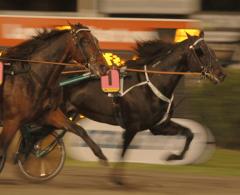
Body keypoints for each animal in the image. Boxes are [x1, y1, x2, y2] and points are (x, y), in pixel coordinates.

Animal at [0, 23, 108, 172]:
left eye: (96, 40)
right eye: (85, 41)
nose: (103, 67)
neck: (30, 78)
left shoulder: (48, 114)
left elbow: (78, 129)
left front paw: (100, 154)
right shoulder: (12, 121)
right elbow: (2, 150)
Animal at [61, 31, 225, 183]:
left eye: (212, 51)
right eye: (201, 51)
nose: (221, 74)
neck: (153, 83)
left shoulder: (159, 126)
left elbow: (189, 133)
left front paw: (172, 157)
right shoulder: (132, 126)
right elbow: (123, 151)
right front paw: (117, 178)